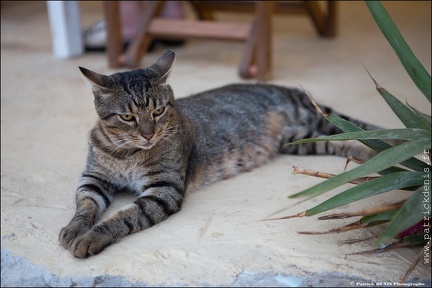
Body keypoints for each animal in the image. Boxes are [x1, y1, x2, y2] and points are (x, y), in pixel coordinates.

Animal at [59, 48, 376, 258]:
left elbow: (123, 217)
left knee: (357, 129)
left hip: (314, 119)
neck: (128, 153)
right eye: (127, 117)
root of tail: (283, 87)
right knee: (339, 141)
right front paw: (74, 229)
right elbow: (85, 205)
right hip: (301, 139)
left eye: (158, 111)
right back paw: (367, 155)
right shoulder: (94, 178)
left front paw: (91, 237)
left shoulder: (163, 190)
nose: (148, 134)